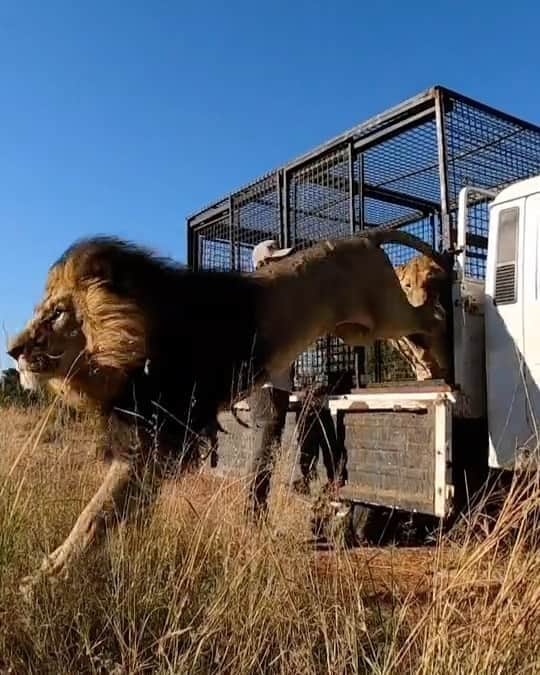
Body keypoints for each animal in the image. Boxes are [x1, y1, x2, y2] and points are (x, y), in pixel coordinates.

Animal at [7, 231, 448, 592]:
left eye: (56, 313)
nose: (12, 350)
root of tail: (364, 236)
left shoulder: (156, 440)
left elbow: (94, 513)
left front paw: (45, 578)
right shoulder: (147, 439)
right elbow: (107, 511)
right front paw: (50, 572)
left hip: (386, 311)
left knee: (429, 318)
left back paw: (446, 330)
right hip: (359, 330)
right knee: (415, 332)